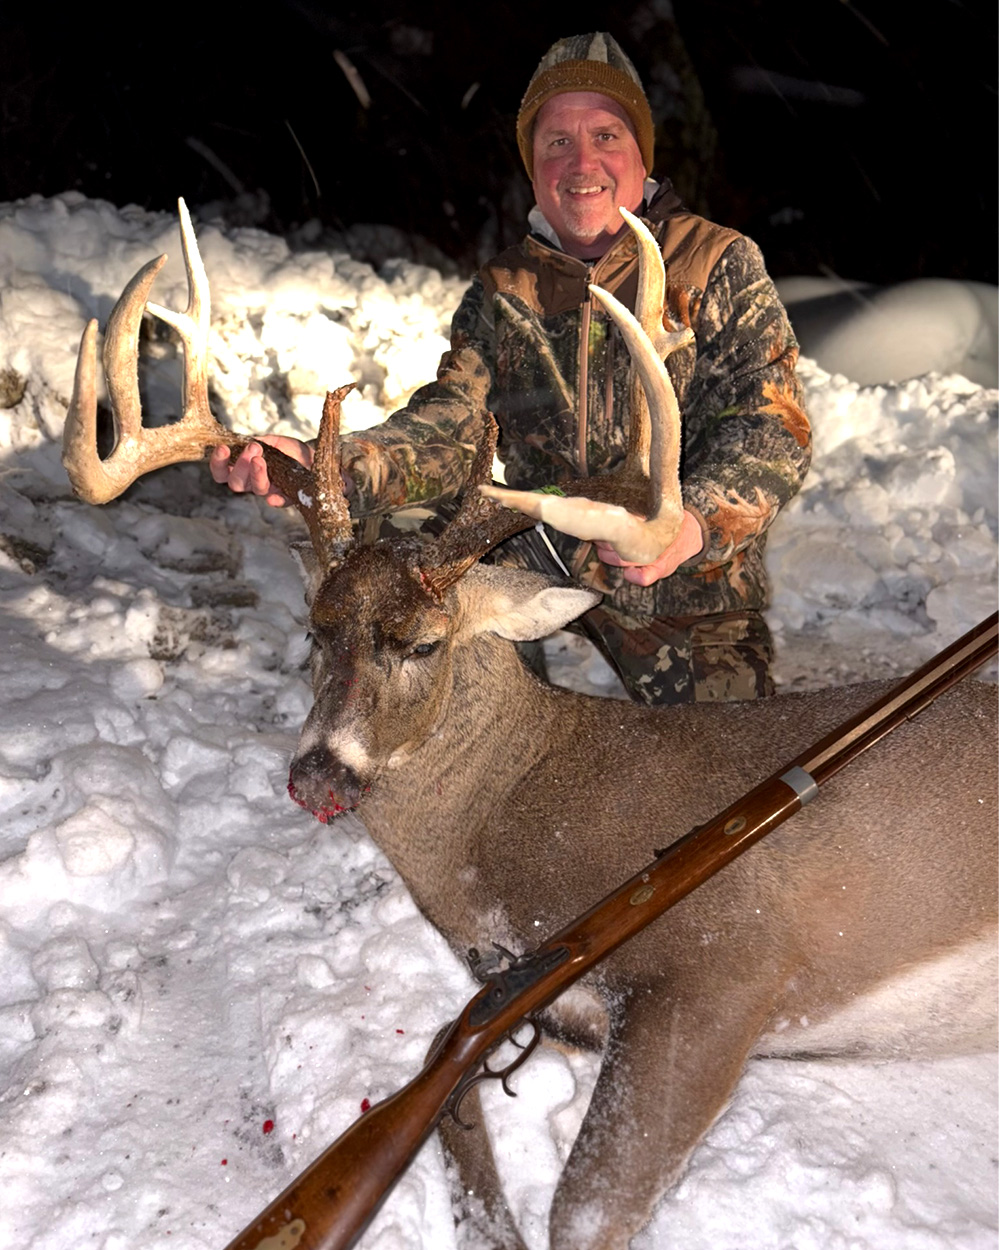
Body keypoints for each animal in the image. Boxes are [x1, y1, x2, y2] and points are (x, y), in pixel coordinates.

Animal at [63, 201, 998, 1250]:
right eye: (314, 629)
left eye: (423, 641)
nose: (318, 776)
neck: (505, 829)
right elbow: (454, 1114)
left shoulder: (728, 965)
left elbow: (583, 1209)